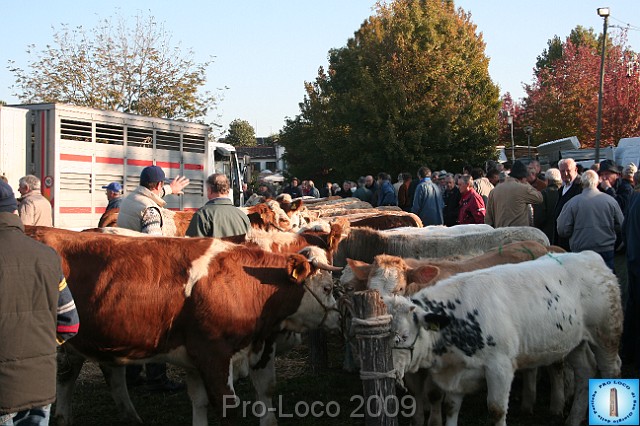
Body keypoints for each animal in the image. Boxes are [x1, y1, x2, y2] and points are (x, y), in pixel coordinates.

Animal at [23, 228, 344, 426]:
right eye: (327, 288)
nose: (339, 318)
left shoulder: (245, 349)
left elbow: (250, 396)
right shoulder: (214, 355)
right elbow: (228, 406)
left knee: (105, 374)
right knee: (65, 377)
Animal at [388, 251, 624, 426]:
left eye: (405, 335)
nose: (391, 371)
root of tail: (591, 256)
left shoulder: (500, 367)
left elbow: (496, 410)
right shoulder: (457, 372)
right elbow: (450, 408)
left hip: (606, 335)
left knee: (611, 369)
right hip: (574, 341)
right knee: (585, 371)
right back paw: (573, 419)